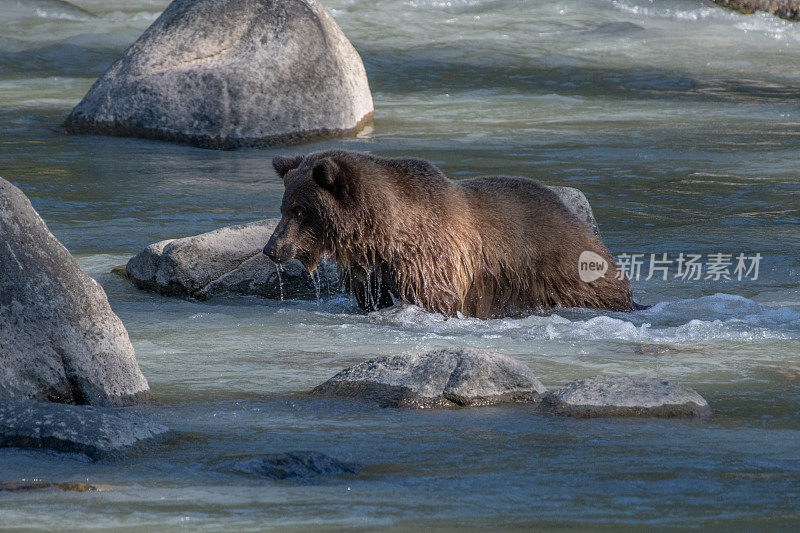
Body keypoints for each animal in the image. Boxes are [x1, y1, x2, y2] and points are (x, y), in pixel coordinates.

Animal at [266, 150, 636, 316]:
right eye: (284, 207)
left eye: (299, 210)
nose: (272, 248)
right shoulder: (372, 268)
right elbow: (371, 297)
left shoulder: (429, 259)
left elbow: (434, 299)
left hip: (560, 272)